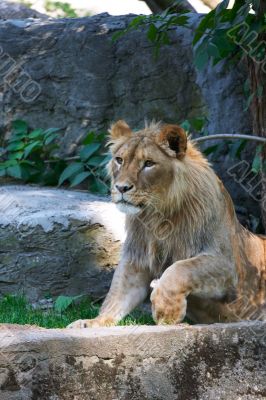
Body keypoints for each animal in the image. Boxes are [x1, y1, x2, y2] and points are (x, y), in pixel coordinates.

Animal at [68, 119, 266, 328]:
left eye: (149, 163)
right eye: (119, 160)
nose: (121, 188)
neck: (157, 216)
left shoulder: (227, 266)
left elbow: (180, 269)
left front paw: (166, 310)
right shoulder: (136, 260)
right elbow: (116, 296)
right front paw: (91, 323)